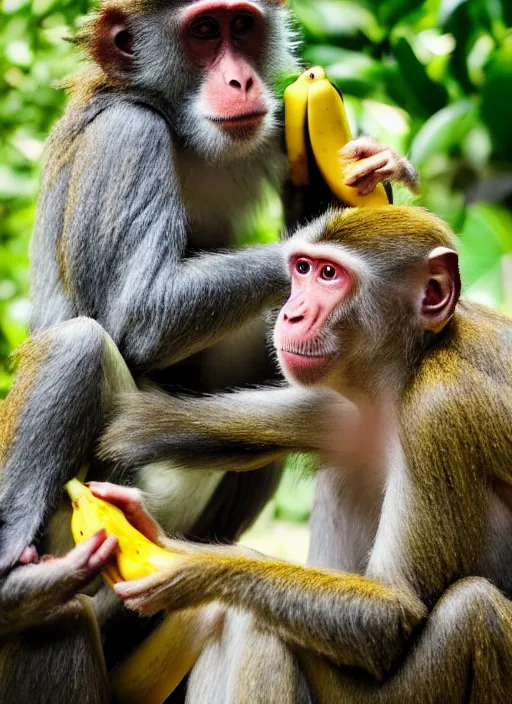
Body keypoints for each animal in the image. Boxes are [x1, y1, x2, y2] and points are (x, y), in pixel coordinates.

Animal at [102, 206, 512, 700]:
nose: (291, 314)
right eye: (302, 269)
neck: (417, 357)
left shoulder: (438, 407)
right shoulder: (351, 404)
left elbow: (397, 609)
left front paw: (190, 565)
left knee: (473, 608)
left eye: (330, 275)